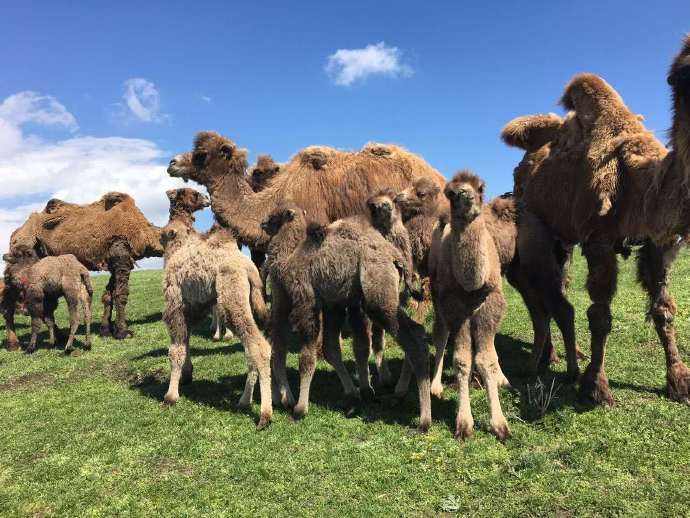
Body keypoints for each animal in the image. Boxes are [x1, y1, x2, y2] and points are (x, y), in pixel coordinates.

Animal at [6, 191, 164, 346]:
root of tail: (15, 234)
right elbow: (121, 294)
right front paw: (122, 332)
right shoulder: (121, 252)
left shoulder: (112, 261)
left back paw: (59, 337)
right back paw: (16, 343)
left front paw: (105, 330)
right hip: (24, 259)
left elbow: (108, 294)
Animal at [160, 189, 270, 428]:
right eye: (194, 194)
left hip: (232, 302)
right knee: (250, 348)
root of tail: (250, 270)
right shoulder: (193, 306)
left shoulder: (175, 303)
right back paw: (244, 400)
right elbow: (186, 341)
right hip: (247, 303)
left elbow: (176, 349)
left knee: (259, 347)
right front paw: (187, 376)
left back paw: (265, 415)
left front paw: (171, 396)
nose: (206, 199)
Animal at [262, 203, 430, 434]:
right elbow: (331, 349)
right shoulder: (334, 304)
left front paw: (300, 409)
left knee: (411, 338)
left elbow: (307, 357)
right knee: (418, 333)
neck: (290, 259)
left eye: (276, 216)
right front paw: (353, 393)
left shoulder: (307, 302)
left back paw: (423, 420)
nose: (263, 223)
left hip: (378, 298)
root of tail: (396, 258)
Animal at [430, 173, 510, 440]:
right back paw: (435, 386)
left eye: (480, 188)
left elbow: (486, 359)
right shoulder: (456, 308)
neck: (472, 284)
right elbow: (462, 360)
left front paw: (500, 423)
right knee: (441, 336)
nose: (463, 195)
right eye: (449, 192)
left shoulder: (489, 305)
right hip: (438, 298)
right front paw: (464, 423)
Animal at [498, 36, 688, 408]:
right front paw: (596, 387)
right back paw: (551, 357)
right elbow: (600, 316)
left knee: (558, 288)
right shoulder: (598, 239)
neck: (642, 182)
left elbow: (664, 309)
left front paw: (679, 381)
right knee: (547, 292)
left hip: (563, 240)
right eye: (679, 75)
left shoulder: (657, 243)